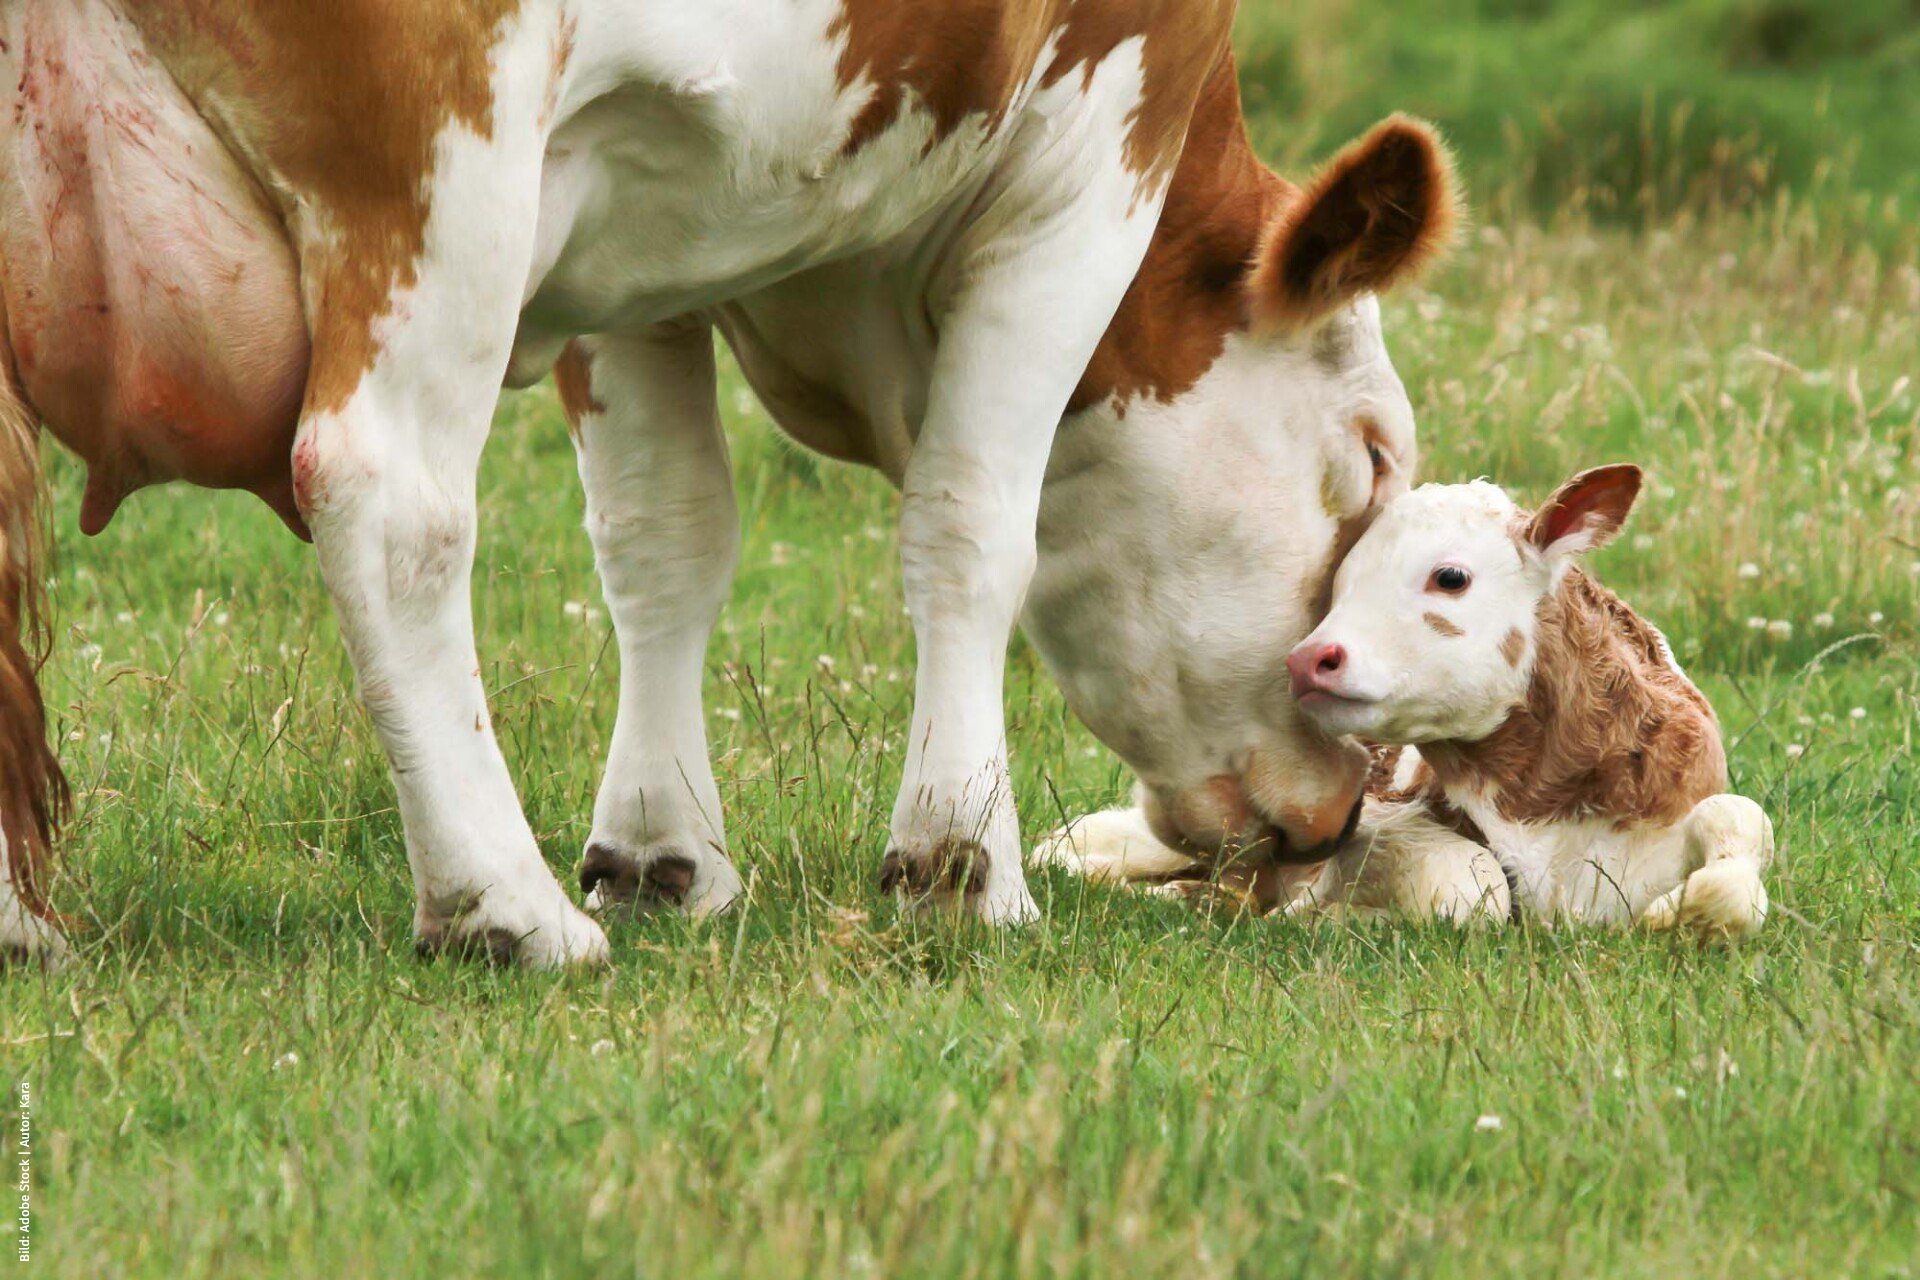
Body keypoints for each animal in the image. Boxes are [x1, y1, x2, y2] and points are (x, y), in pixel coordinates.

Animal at [0, 0, 1457, 966]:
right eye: (1374, 456)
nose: (1351, 800)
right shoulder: (1094, 152)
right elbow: (974, 526)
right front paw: (960, 862)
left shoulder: (635, 243)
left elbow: (666, 537)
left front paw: (662, 851)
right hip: (442, 165)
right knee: (392, 501)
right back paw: (502, 907)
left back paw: (20, 922)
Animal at [1040, 466, 1776, 937]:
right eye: (1339, 585)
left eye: (1450, 576)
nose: (1308, 658)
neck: (1547, 804)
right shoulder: (1382, 822)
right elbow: (1473, 883)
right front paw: (1327, 917)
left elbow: (1742, 826)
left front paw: (1683, 918)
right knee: (1071, 849)